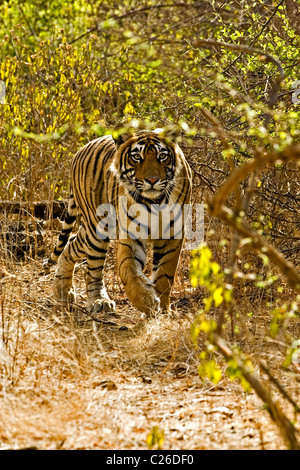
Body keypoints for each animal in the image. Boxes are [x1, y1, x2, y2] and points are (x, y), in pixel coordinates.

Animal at [43, 129, 191, 316]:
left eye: (162, 156)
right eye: (137, 157)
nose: (152, 180)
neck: (155, 201)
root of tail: (79, 151)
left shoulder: (172, 235)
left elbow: (165, 275)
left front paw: (163, 309)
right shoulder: (131, 235)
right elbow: (128, 270)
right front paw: (146, 300)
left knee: (71, 243)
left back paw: (63, 290)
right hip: (97, 228)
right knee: (92, 270)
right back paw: (97, 301)